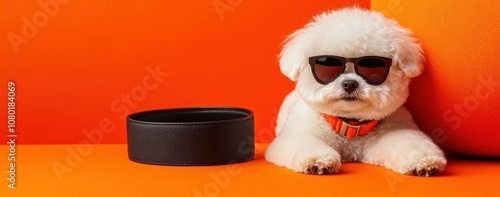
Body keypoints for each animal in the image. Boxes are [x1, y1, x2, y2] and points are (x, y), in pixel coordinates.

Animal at [264, 6, 448, 176]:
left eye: (372, 66)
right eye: (328, 66)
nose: (350, 84)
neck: (350, 126)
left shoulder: (396, 129)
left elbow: (410, 141)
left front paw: (423, 161)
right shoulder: (296, 133)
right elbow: (304, 142)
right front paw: (317, 161)